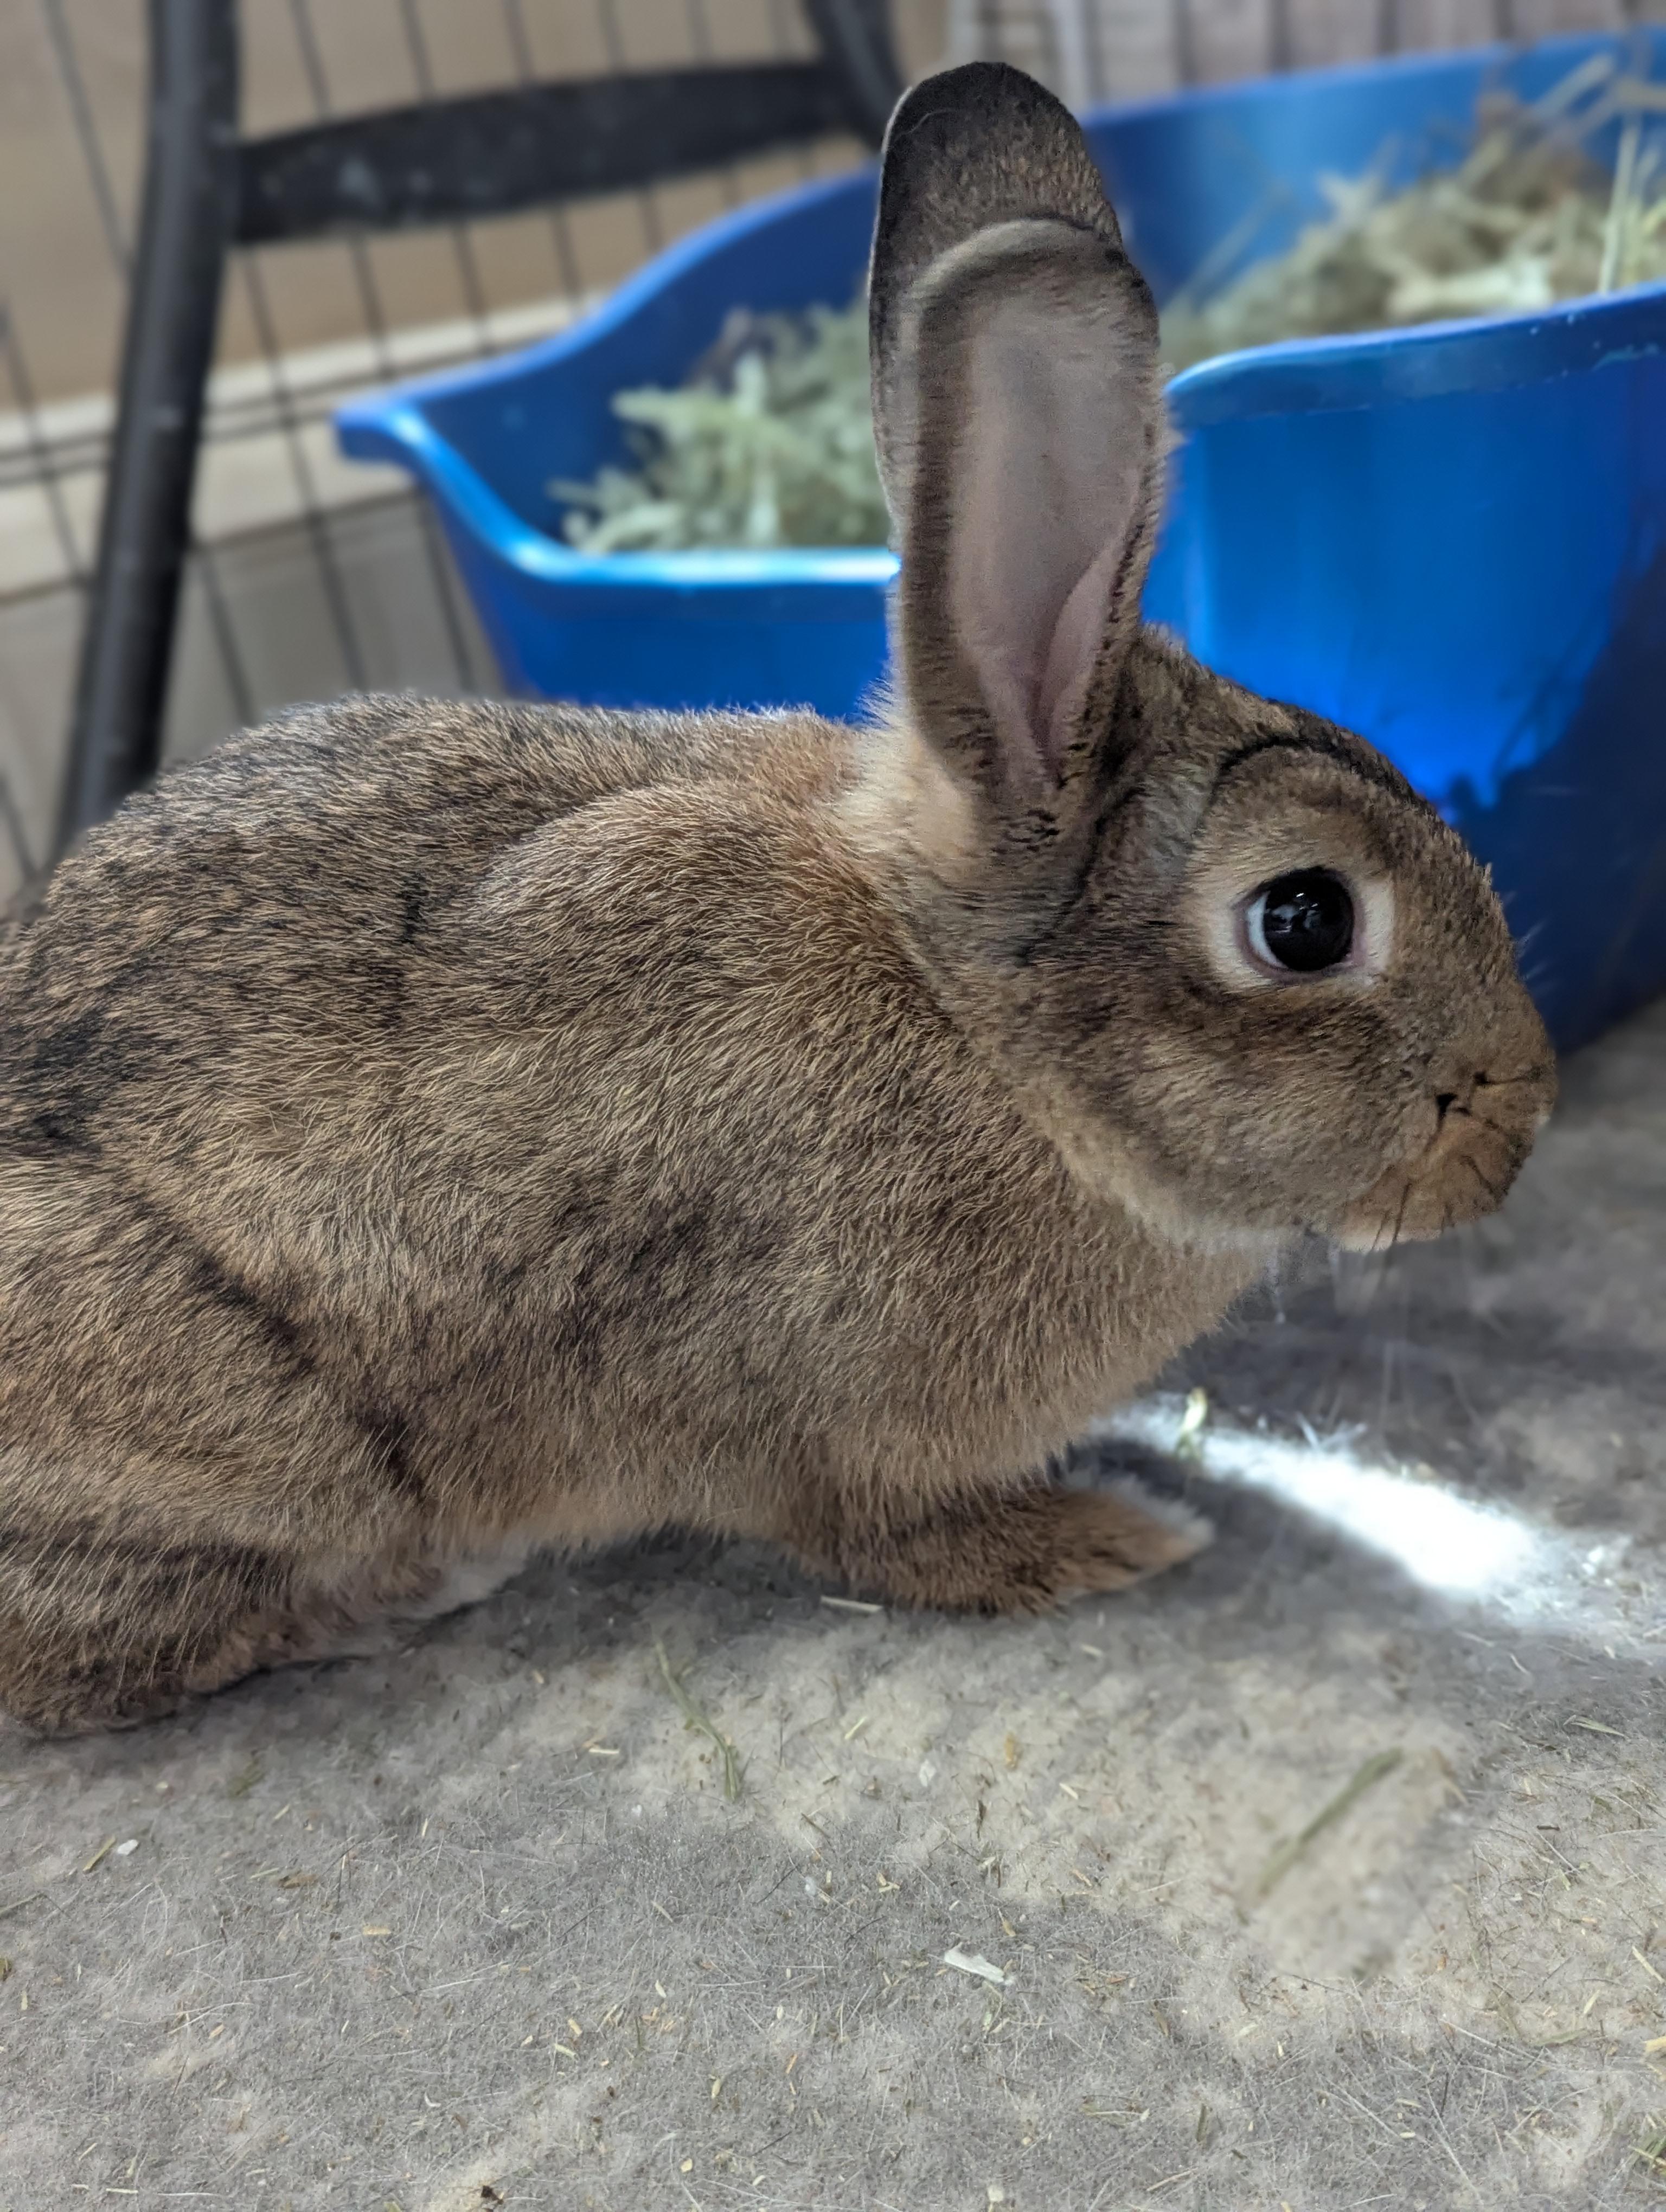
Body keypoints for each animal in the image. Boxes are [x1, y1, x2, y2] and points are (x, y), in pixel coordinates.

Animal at [0, 60, 1553, 1735]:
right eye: (1306, 919)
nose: (1520, 1116)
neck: (978, 1035)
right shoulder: (822, 1433)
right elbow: (889, 1541)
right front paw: (1108, 1535)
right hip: (251, 1448)